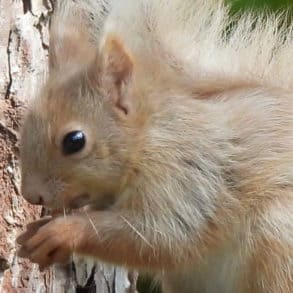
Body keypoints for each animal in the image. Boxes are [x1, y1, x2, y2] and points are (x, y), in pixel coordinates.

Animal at [16, 0, 292, 292]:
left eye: (74, 141)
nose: (32, 196)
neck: (146, 138)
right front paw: (35, 231)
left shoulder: (188, 179)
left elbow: (161, 236)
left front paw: (63, 232)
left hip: (276, 237)